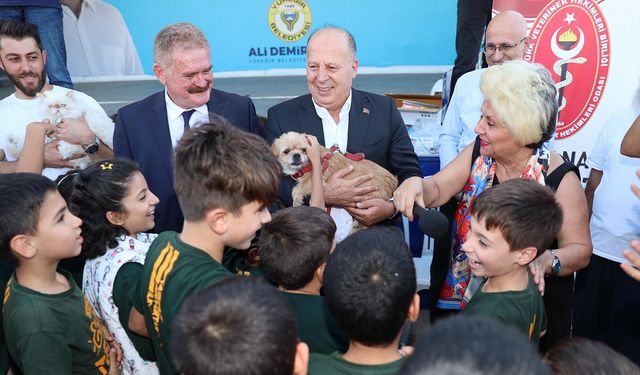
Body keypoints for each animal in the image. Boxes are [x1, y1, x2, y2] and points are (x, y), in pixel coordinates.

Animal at [272, 131, 400, 213]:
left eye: (304, 150)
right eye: (286, 151)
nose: (297, 155)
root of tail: (393, 184)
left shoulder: (316, 179)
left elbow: (298, 187)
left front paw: (297, 201)